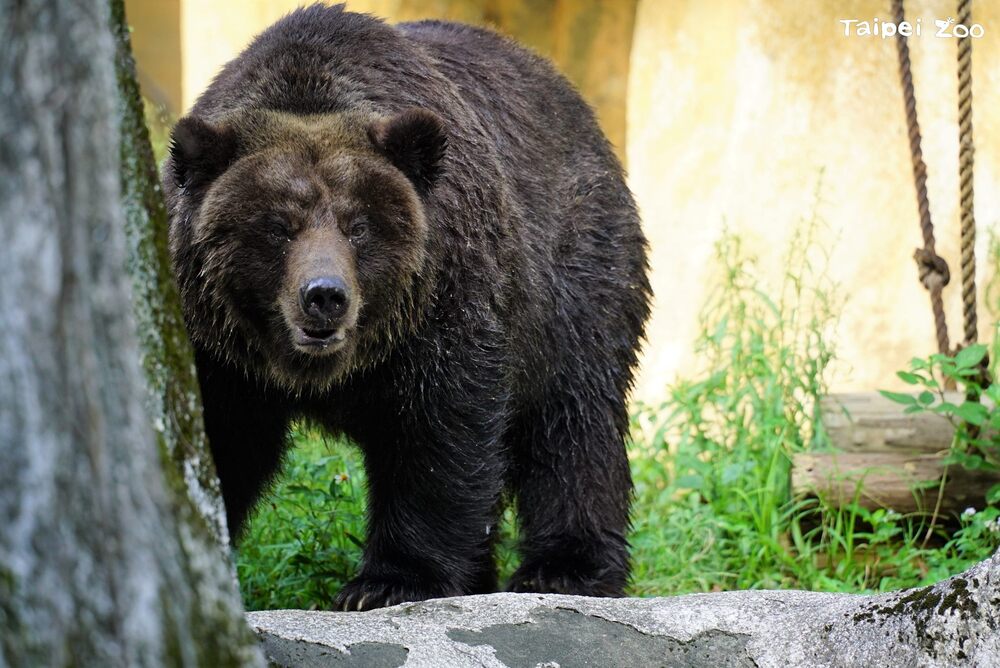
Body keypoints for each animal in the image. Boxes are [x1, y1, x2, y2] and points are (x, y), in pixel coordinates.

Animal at [164, 5, 648, 612]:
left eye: (358, 225)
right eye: (279, 226)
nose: (324, 295)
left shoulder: (442, 308)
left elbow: (437, 437)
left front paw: (389, 581)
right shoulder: (217, 348)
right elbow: (220, 439)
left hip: (574, 279)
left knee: (572, 421)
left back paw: (564, 569)